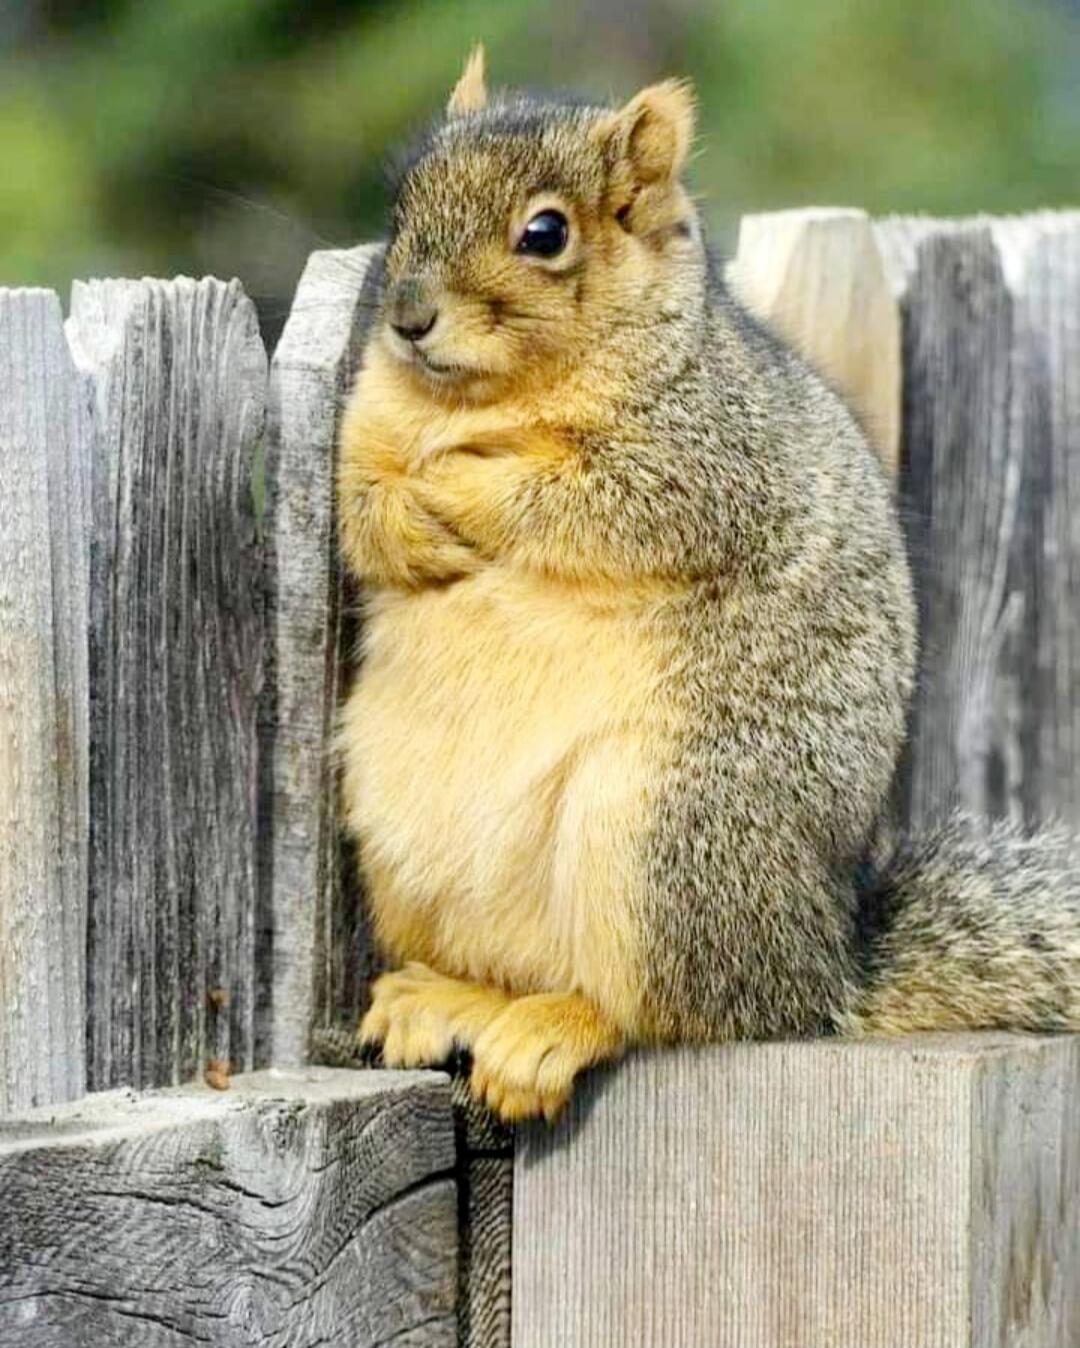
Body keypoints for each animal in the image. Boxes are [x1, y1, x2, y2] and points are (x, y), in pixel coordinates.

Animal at [335, 47, 1080, 1122]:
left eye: (545, 233)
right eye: (403, 199)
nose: (407, 317)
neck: (481, 400)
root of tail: (821, 968)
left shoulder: (707, 456)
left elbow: (589, 498)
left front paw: (460, 486)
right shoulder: (362, 425)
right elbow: (356, 506)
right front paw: (407, 521)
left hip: (661, 837)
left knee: (666, 1010)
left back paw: (556, 1029)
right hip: (398, 834)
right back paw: (449, 996)